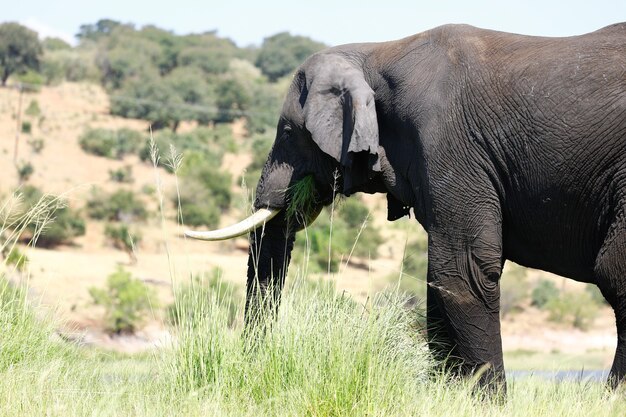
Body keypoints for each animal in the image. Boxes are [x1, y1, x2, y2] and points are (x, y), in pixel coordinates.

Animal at [188, 24, 624, 390]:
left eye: (290, 133)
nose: (249, 367)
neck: (374, 51)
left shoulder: (449, 144)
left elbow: (461, 271)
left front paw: (485, 403)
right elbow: (440, 280)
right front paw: (447, 395)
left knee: (614, 274)